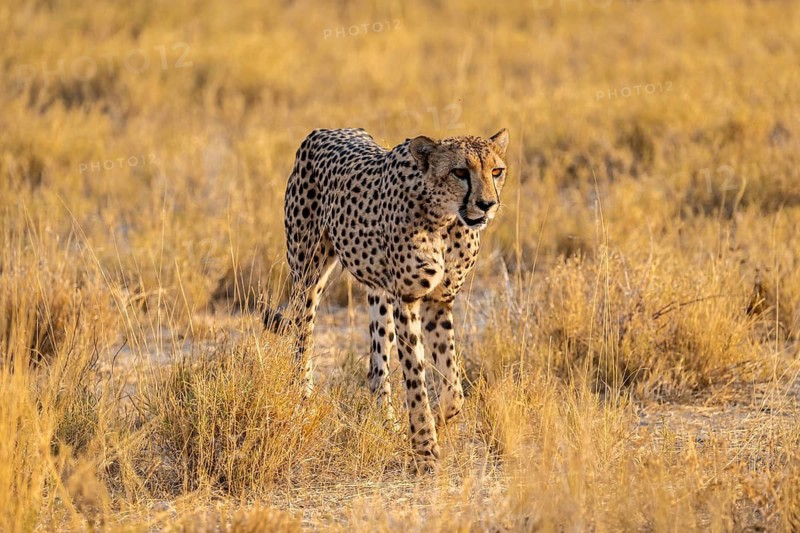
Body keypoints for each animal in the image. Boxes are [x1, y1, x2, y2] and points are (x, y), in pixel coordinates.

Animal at [265, 127, 509, 471]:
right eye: (460, 172)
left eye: (496, 171)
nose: (487, 204)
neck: (446, 220)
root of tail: (325, 130)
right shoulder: (408, 299)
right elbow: (416, 379)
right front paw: (425, 449)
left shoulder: (438, 301)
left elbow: (454, 388)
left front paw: (436, 423)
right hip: (308, 274)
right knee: (303, 340)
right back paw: (303, 405)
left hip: (379, 296)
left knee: (377, 364)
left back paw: (387, 421)